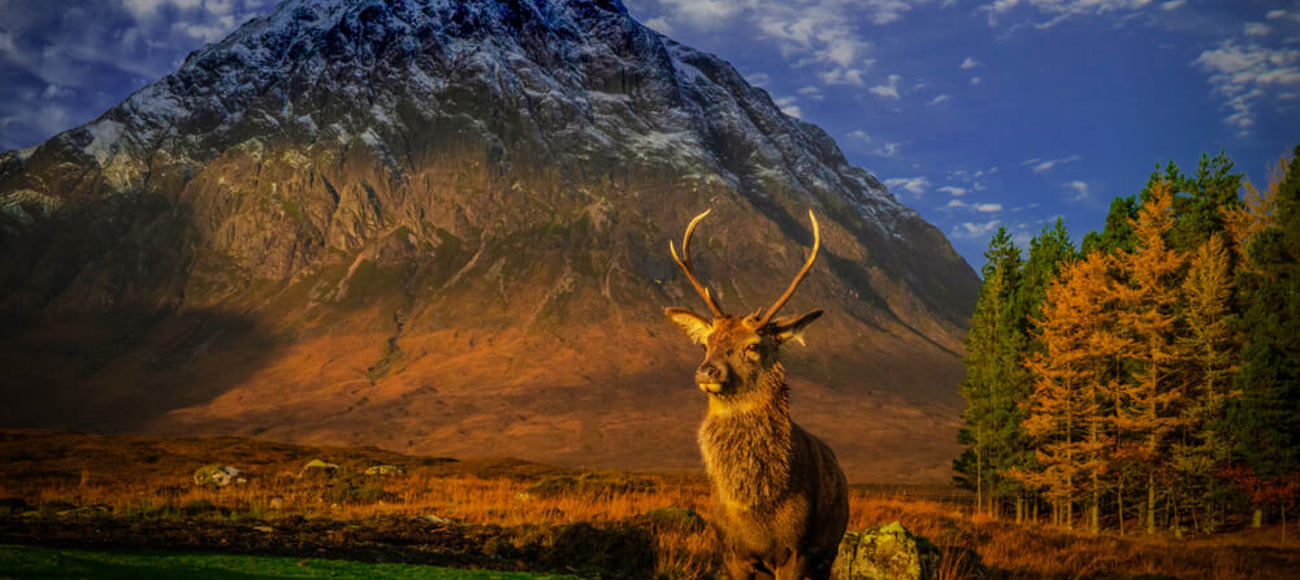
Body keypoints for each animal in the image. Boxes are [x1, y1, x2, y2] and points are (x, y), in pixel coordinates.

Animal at [665, 209, 847, 580]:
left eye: (753, 345)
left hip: (829, 551)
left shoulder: (797, 551)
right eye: (706, 343)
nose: (707, 370)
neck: (756, 512)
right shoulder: (731, 551)